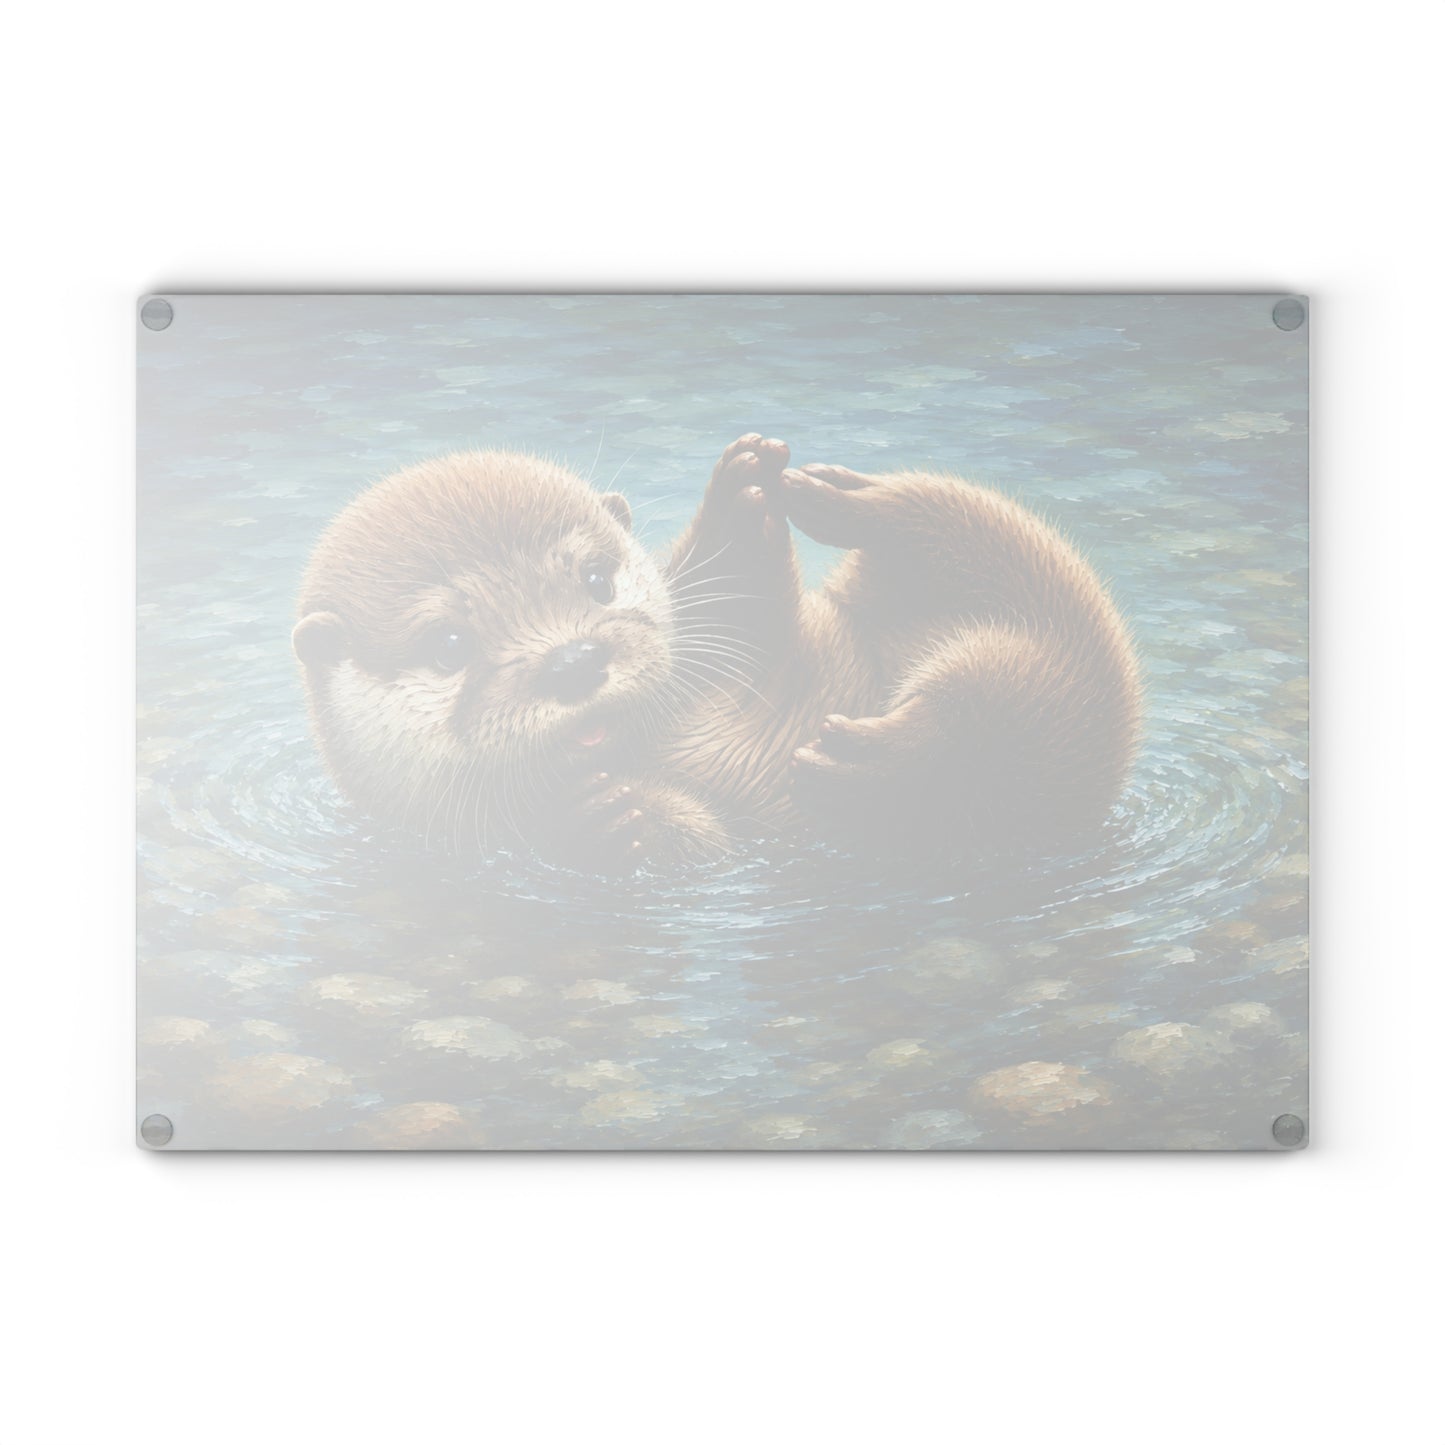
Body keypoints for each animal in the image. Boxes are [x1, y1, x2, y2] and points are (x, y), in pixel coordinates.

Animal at [294, 437, 1141, 872]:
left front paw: (740, 497)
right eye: (448, 645)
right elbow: (676, 834)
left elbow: (741, 609)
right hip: (1059, 739)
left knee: (962, 534)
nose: (574, 660)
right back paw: (882, 768)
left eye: (597, 578)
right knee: (999, 740)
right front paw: (599, 817)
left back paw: (836, 495)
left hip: (1022, 584)